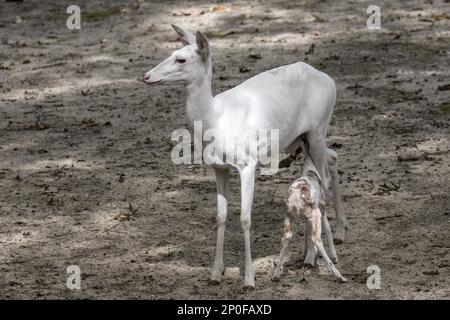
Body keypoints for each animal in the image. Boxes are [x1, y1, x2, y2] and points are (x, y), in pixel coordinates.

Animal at [142, 26, 346, 288]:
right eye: (171, 52)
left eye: (181, 59)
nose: (146, 76)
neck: (216, 121)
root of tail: (329, 80)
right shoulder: (218, 167)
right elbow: (221, 216)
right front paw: (215, 273)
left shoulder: (248, 163)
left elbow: (245, 218)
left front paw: (249, 278)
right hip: (300, 139)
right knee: (332, 158)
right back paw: (321, 245)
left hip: (319, 128)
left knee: (324, 179)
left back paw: (315, 255)